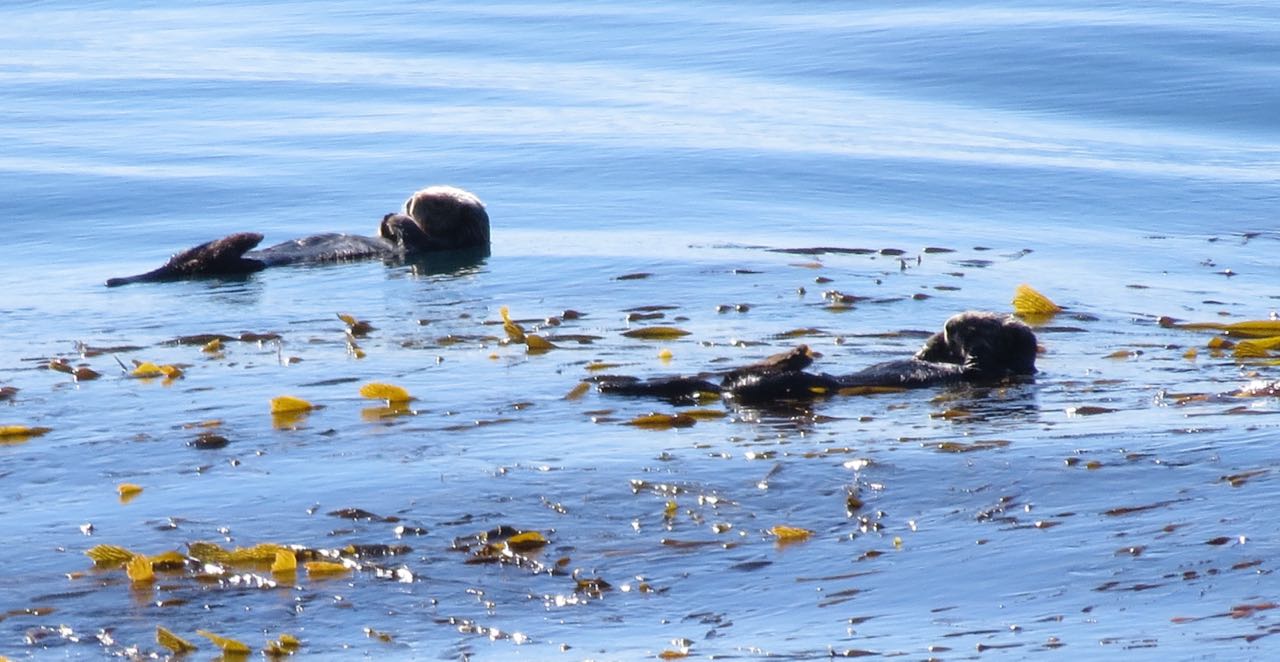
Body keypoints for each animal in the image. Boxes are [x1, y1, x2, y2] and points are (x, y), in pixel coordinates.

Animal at [105, 185, 489, 287]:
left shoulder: (428, 247)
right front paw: (384, 219)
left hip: (219, 261)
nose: (409, 201)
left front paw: (394, 220)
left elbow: (413, 240)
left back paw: (250, 239)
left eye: (433, 202)